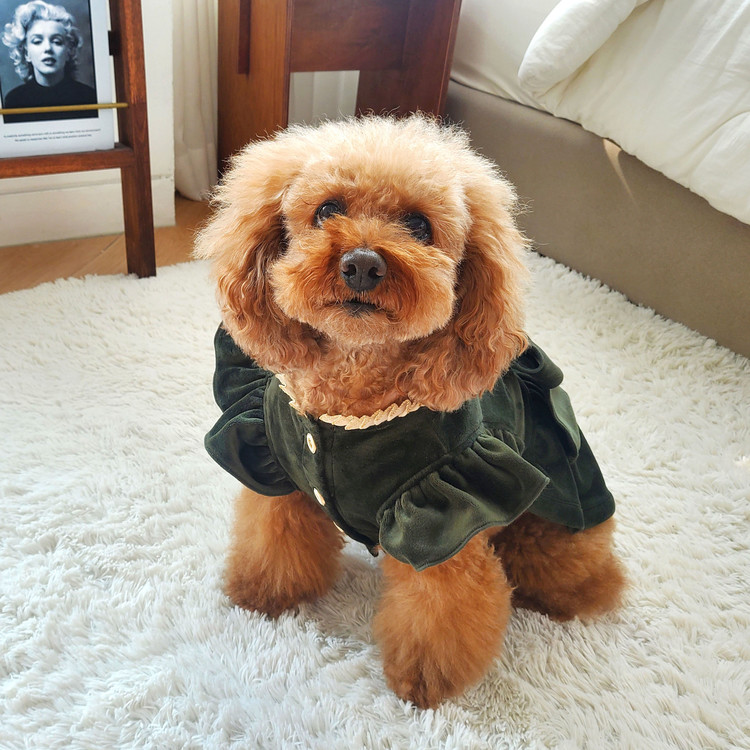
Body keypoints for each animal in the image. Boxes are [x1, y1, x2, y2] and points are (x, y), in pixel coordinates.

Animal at [195, 115, 626, 708]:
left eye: (420, 226)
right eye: (327, 210)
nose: (361, 264)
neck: (351, 403)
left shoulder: (447, 516)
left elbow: (438, 614)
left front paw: (423, 683)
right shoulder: (277, 469)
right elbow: (272, 542)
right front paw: (261, 595)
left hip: (550, 532)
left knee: (585, 580)